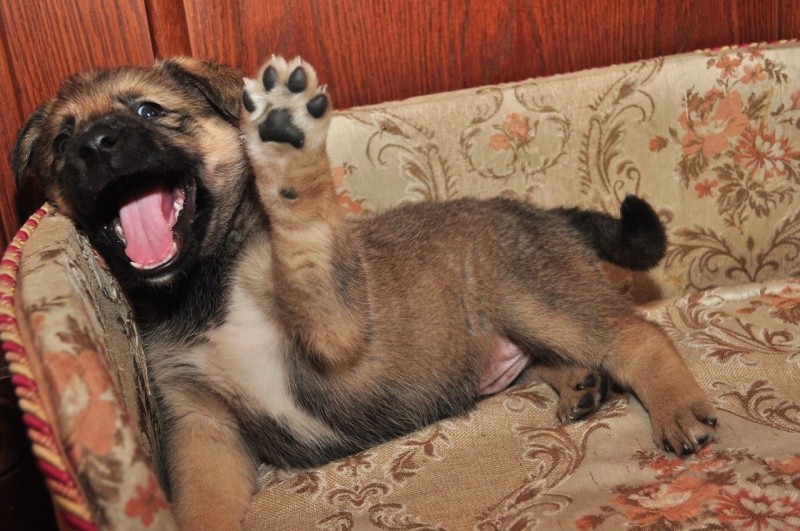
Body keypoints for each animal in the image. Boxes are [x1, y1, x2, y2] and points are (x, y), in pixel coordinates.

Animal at [13, 56, 717, 529]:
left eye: (147, 111)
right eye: (61, 140)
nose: (93, 145)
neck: (205, 289)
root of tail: (542, 214)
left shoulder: (333, 327)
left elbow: (302, 232)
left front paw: (287, 152)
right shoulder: (204, 427)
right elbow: (199, 507)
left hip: (533, 296)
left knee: (636, 334)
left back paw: (677, 406)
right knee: (554, 354)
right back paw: (577, 382)